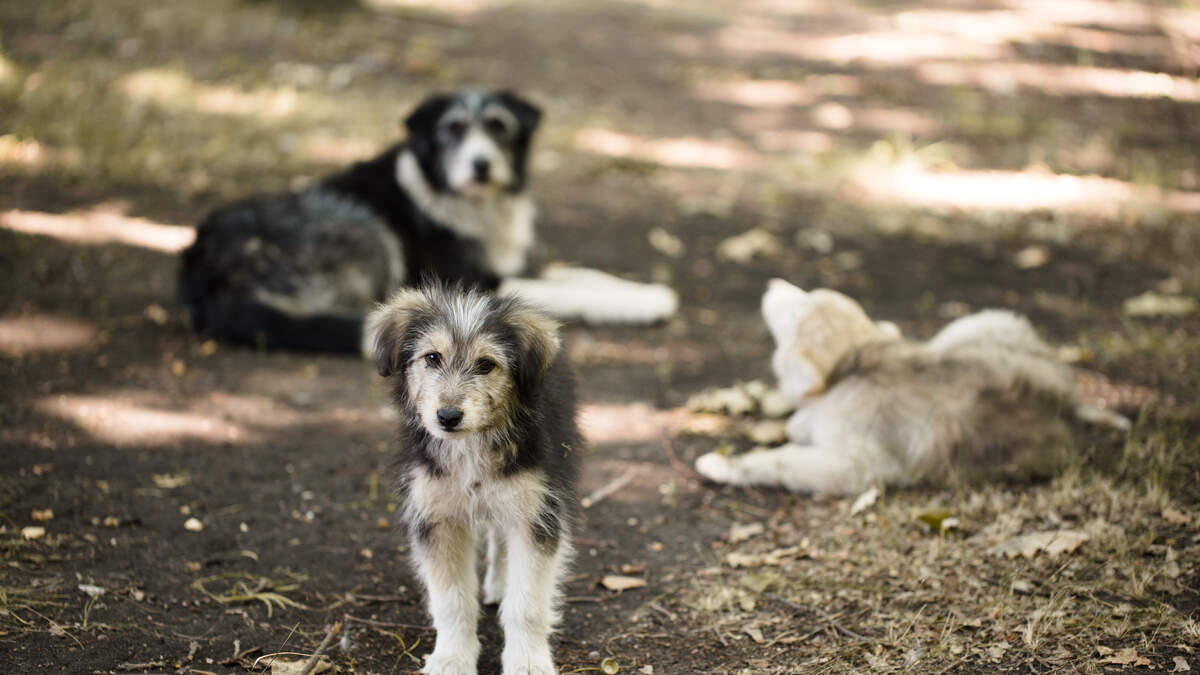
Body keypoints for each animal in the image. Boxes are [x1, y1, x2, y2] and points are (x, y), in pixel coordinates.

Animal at [180, 88, 676, 352]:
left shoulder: (511, 264)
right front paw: (645, 305)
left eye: (499, 127)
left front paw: (647, 292)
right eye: (451, 131)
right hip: (363, 228)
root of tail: (203, 271)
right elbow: (568, 293)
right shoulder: (475, 280)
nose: (481, 165)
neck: (470, 202)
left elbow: (585, 274)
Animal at [365, 285, 579, 674]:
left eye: (486, 364)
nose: (447, 416)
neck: (471, 446)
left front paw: (528, 661)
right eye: (432, 358)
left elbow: (527, 604)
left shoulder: (536, 514)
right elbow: (451, 601)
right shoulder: (436, 517)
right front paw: (452, 658)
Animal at [695, 279, 1130, 496]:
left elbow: (781, 460)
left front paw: (725, 465)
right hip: (970, 327)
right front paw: (799, 423)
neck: (855, 362)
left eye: (798, 307)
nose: (772, 282)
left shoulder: (858, 465)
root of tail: (1071, 403)